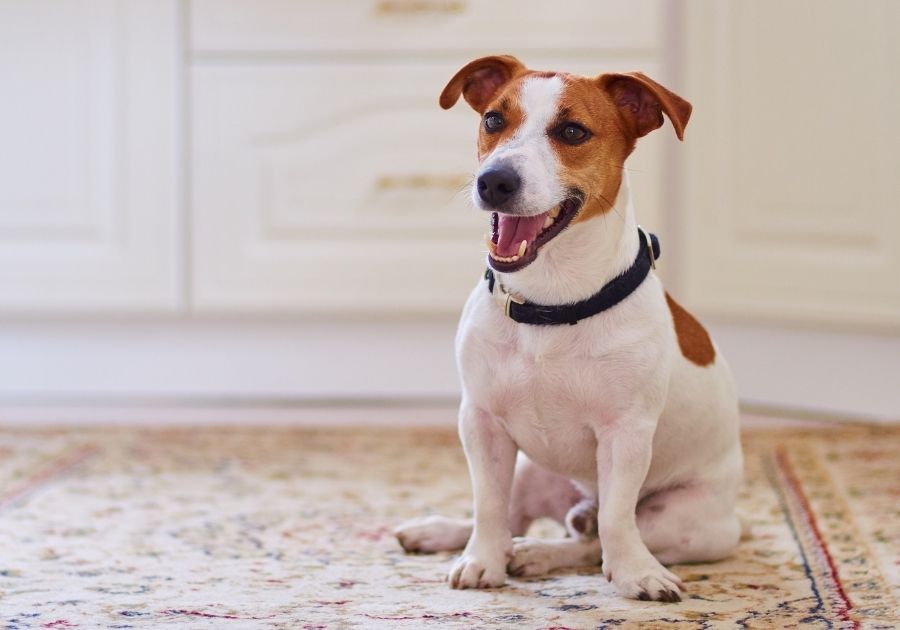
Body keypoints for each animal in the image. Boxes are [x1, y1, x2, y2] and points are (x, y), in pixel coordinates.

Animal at [398, 56, 740, 604]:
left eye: (573, 131)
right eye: (494, 119)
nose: (494, 181)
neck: (550, 303)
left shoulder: (625, 434)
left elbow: (617, 521)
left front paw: (636, 575)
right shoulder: (481, 421)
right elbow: (487, 506)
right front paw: (480, 561)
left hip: (687, 521)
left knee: (592, 537)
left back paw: (541, 553)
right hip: (528, 469)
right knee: (513, 516)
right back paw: (446, 534)